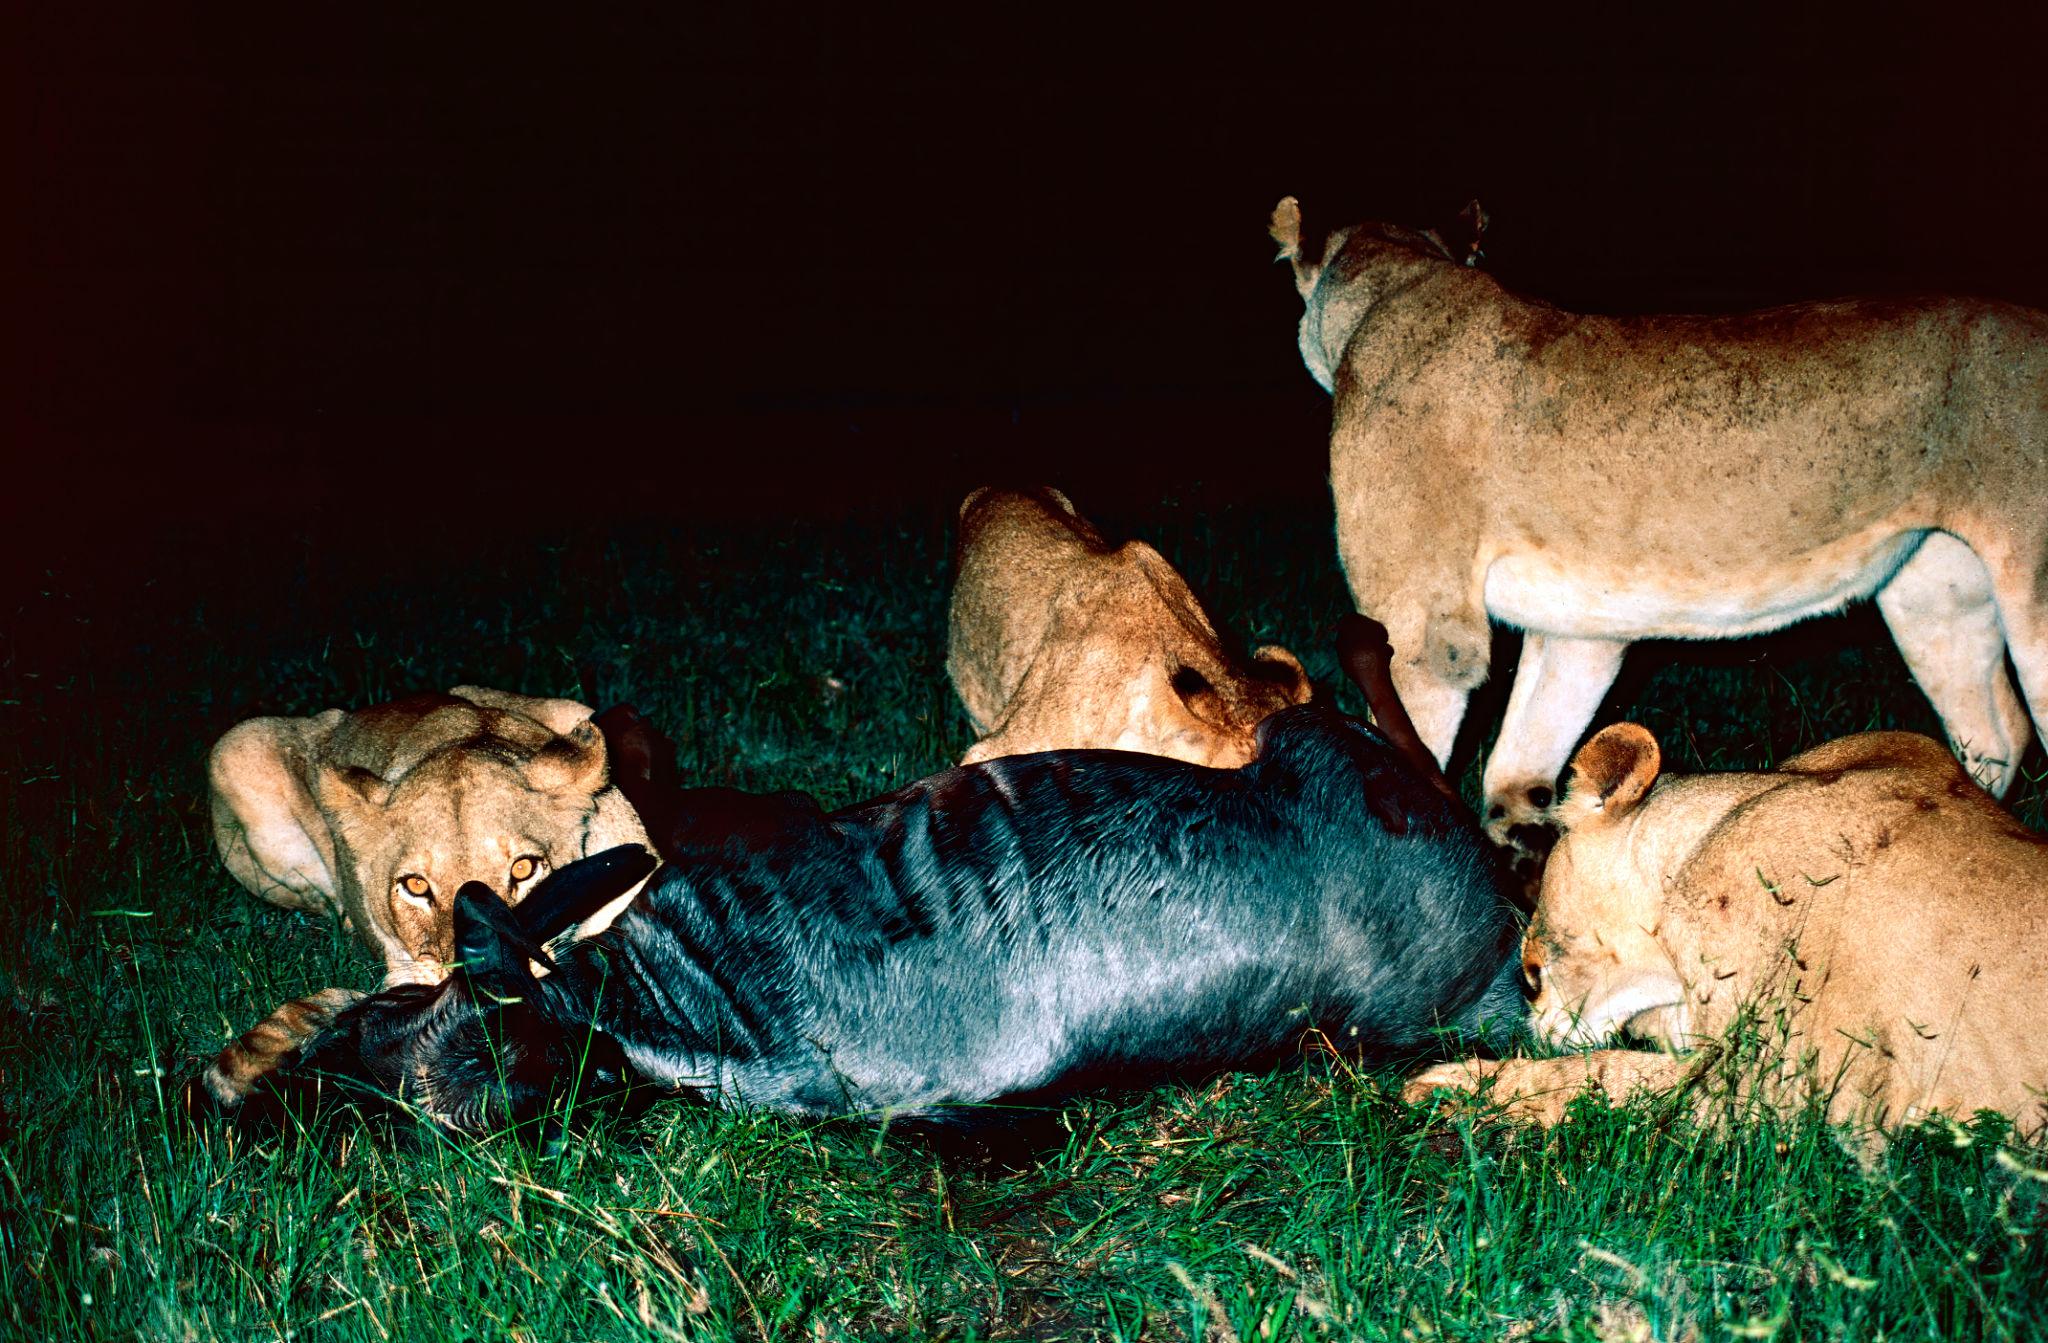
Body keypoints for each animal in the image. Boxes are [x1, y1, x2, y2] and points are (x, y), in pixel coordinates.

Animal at [1271, 196, 2048, 875]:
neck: (1399, 279)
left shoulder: (1425, 630)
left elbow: (1407, 755)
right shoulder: (1581, 632)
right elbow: (1519, 769)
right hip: (1934, 596)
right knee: (1996, 734)